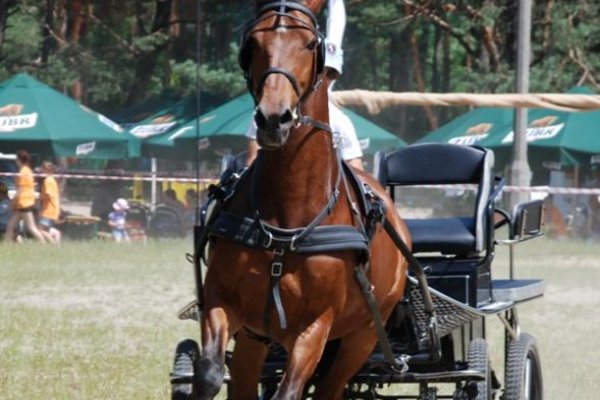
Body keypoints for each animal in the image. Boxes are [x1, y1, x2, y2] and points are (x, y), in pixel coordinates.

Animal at [197, 1, 412, 398]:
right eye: (253, 42)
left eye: (311, 44)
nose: (273, 118)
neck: (287, 220)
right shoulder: (222, 300)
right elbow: (209, 373)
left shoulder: (315, 326)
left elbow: (290, 390)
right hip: (256, 337)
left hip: (362, 336)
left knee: (330, 387)